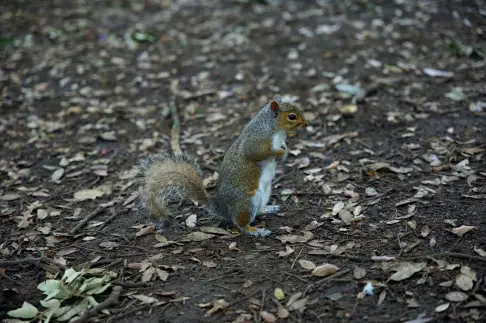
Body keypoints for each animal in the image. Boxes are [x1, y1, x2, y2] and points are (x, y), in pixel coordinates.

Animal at [139, 95, 308, 237]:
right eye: (292, 116)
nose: (306, 124)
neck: (275, 129)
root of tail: (225, 209)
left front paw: (284, 151)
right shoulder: (256, 141)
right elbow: (256, 153)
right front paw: (280, 152)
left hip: (265, 193)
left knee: (258, 212)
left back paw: (268, 209)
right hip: (246, 201)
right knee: (240, 224)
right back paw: (255, 231)